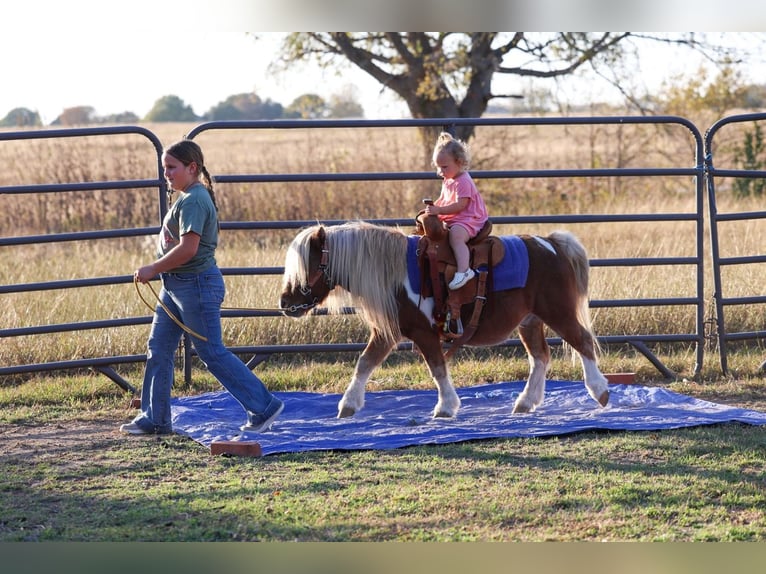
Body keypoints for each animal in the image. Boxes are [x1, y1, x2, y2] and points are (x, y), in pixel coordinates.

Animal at [278, 219, 609, 419]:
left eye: (308, 266)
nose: (285, 303)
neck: (394, 274)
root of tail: (551, 244)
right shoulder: (388, 333)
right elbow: (365, 362)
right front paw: (348, 404)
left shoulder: (424, 333)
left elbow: (437, 367)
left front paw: (446, 407)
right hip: (530, 321)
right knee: (540, 357)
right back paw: (525, 402)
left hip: (558, 313)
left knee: (582, 343)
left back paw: (600, 391)